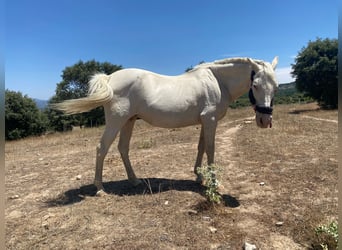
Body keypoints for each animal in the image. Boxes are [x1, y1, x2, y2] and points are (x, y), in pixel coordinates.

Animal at [53, 57, 278, 193]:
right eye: (255, 85)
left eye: (275, 86)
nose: (264, 121)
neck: (217, 81)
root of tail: (109, 78)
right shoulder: (211, 120)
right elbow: (211, 149)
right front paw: (213, 182)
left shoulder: (205, 121)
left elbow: (201, 147)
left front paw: (198, 175)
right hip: (116, 121)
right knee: (102, 148)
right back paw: (100, 188)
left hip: (128, 121)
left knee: (123, 148)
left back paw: (134, 180)